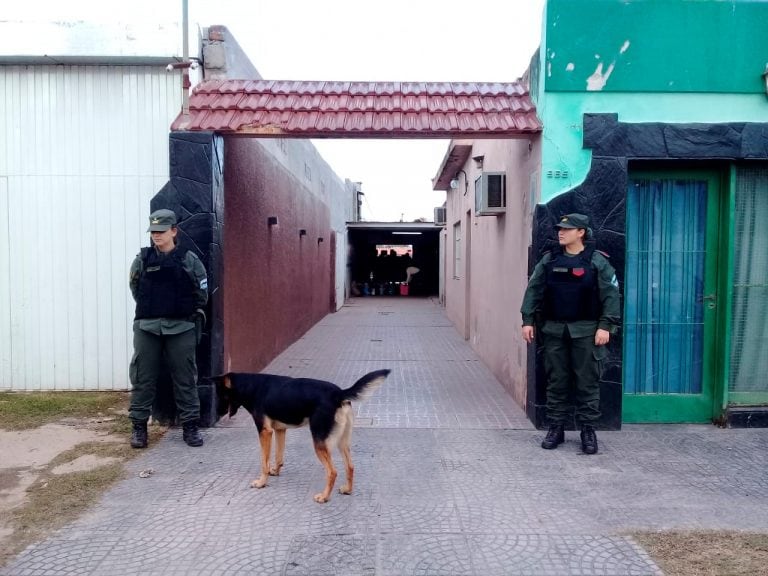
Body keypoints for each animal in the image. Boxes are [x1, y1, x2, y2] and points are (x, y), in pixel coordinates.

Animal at [214, 372, 388, 502]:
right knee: (350, 466)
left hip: (320, 442)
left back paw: (324, 497)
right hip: (341, 441)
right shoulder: (280, 430)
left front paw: (261, 482)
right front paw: (275, 471)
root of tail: (338, 393)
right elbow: (278, 457)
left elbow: (264, 462)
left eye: (221, 395)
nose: (217, 414)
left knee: (332, 472)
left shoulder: (265, 432)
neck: (251, 386)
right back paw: (347, 490)